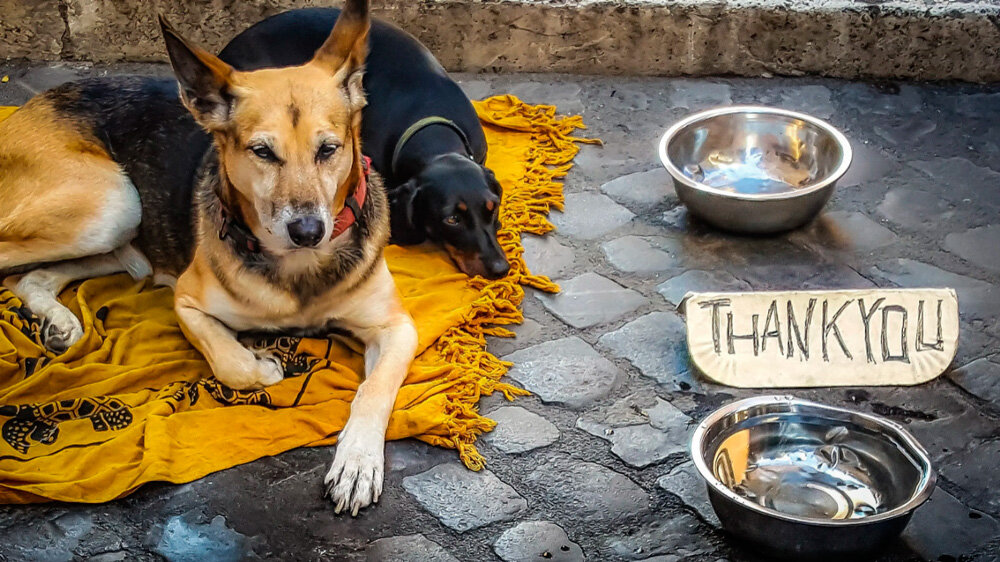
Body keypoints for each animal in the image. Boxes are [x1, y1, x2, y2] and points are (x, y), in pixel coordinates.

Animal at [0, 0, 414, 516]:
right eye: (262, 152)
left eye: (328, 150)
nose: (308, 232)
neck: (296, 269)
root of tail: (28, 107)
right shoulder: (187, 302)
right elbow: (230, 362)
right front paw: (262, 364)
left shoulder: (397, 329)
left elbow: (373, 391)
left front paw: (357, 463)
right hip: (111, 203)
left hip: (119, 227)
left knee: (30, 278)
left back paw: (58, 323)